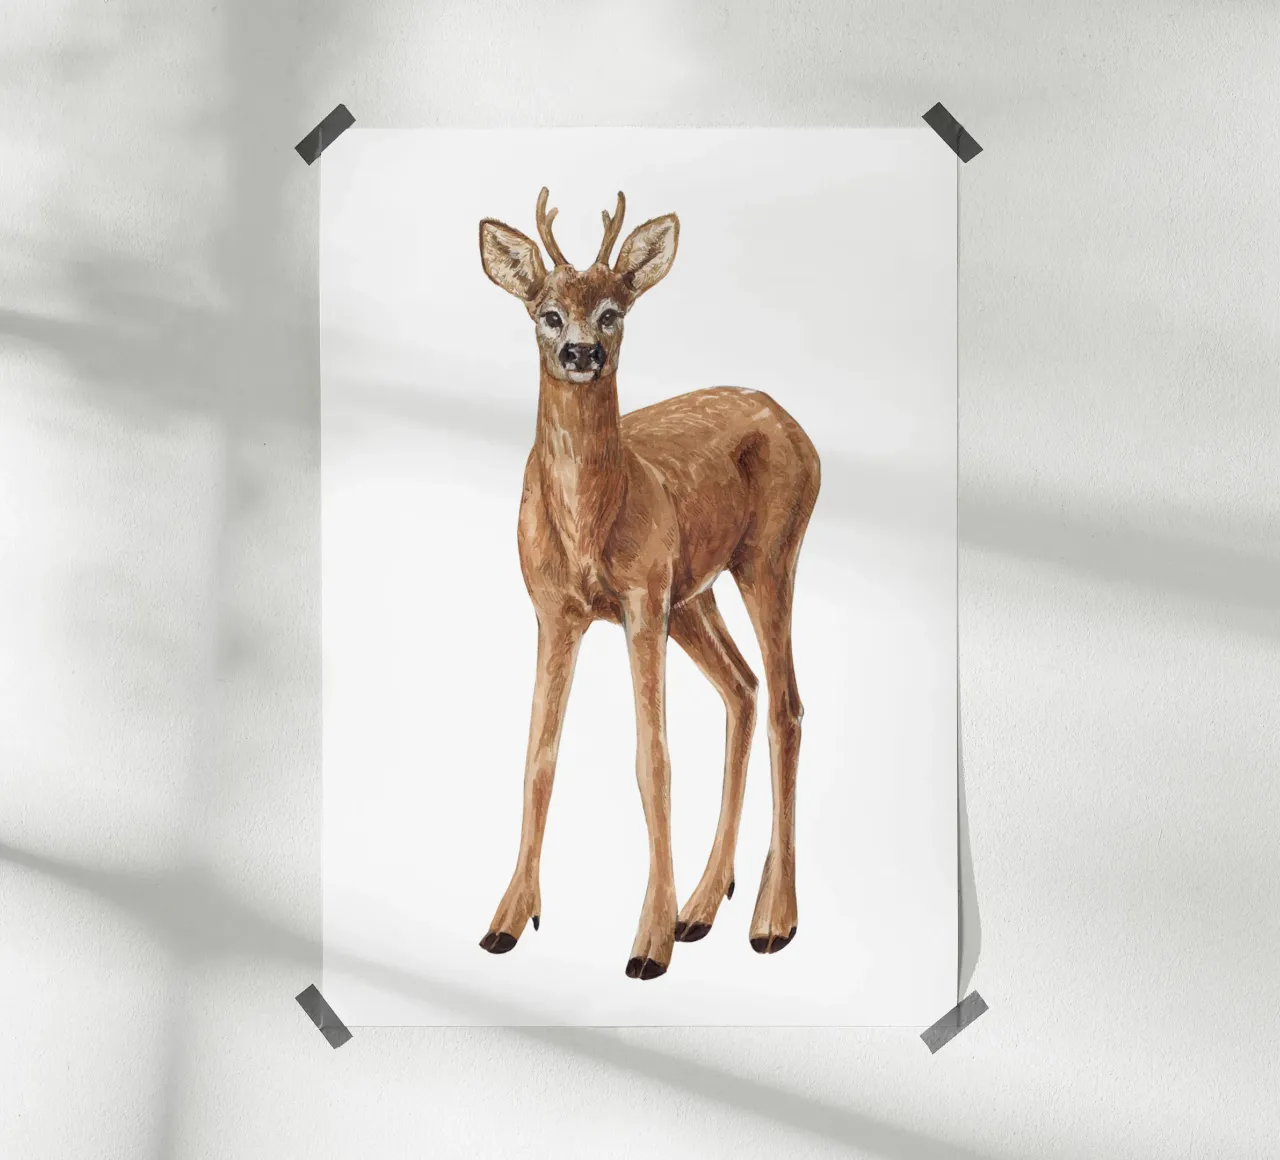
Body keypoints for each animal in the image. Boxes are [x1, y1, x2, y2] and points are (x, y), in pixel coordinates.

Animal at [476, 188, 820, 980]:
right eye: (547, 311)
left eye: (613, 310)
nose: (582, 353)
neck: (590, 524)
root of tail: (796, 426)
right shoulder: (554, 611)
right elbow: (538, 759)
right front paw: (508, 919)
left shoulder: (639, 600)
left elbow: (652, 760)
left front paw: (647, 944)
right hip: (695, 593)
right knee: (743, 687)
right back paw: (703, 906)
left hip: (767, 556)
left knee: (786, 703)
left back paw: (771, 921)